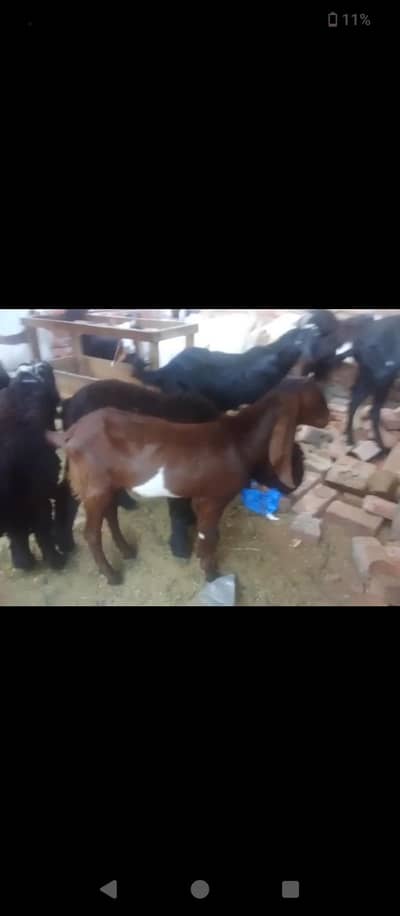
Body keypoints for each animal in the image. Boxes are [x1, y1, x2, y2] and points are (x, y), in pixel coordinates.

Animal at [0, 362, 66, 571]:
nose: (45, 365)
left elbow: (19, 532)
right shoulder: (38, 492)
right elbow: (40, 527)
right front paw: (54, 560)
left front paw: (22, 561)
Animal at [47, 378, 329, 585]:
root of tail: (71, 433)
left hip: (109, 484)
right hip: (94, 487)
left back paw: (127, 551)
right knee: (91, 533)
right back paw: (112, 575)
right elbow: (209, 534)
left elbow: (205, 531)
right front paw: (211, 573)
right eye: (317, 399)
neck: (238, 439)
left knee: (111, 515)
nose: (328, 418)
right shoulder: (213, 498)